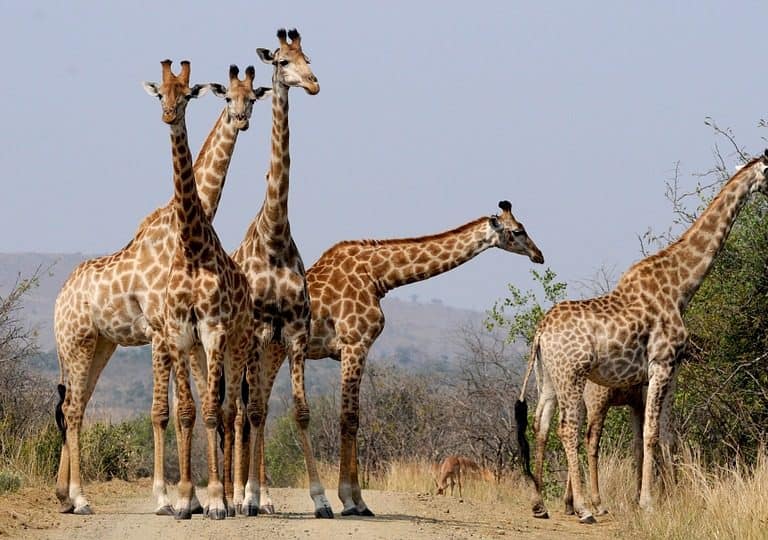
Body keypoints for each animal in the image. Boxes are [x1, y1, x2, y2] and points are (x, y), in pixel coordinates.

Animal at [53, 63, 268, 515]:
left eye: (252, 97)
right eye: (228, 98)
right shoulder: (159, 331)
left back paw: (65, 494)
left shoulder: (176, 334)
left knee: (76, 403)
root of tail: (60, 297)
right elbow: (161, 412)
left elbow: (183, 408)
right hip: (75, 342)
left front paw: (194, 498)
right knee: (73, 408)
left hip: (100, 344)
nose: (241, 119)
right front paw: (167, 497)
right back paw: (79, 497)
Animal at [293, 200, 543, 516]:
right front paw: (352, 501)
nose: (539, 255)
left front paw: (357, 501)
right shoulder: (354, 344)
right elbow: (349, 418)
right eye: (518, 231)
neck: (378, 276)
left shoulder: (353, 350)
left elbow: (354, 419)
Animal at [516, 151, 768, 523]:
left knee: (541, 424)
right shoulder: (662, 363)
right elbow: (651, 434)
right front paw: (648, 502)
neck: (681, 287)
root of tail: (540, 332)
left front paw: (659, 498)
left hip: (547, 376)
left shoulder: (660, 373)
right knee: (569, 428)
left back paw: (539, 504)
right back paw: (583, 508)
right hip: (572, 374)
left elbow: (658, 435)